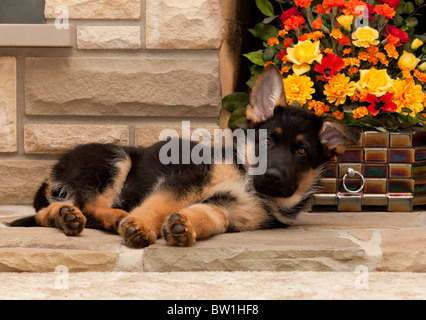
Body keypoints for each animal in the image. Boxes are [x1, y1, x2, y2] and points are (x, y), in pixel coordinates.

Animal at [9, 66, 356, 249]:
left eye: (302, 151)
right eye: (268, 140)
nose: (272, 176)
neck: (245, 177)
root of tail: (54, 169)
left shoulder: (228, 212)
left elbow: (207, 217)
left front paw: (183, 226)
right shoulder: (187, 178)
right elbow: (159, 205)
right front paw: (140, 225)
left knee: (52, 212)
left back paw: (66, 217)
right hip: (114, 159)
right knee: (88, 204)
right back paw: (112, 217)